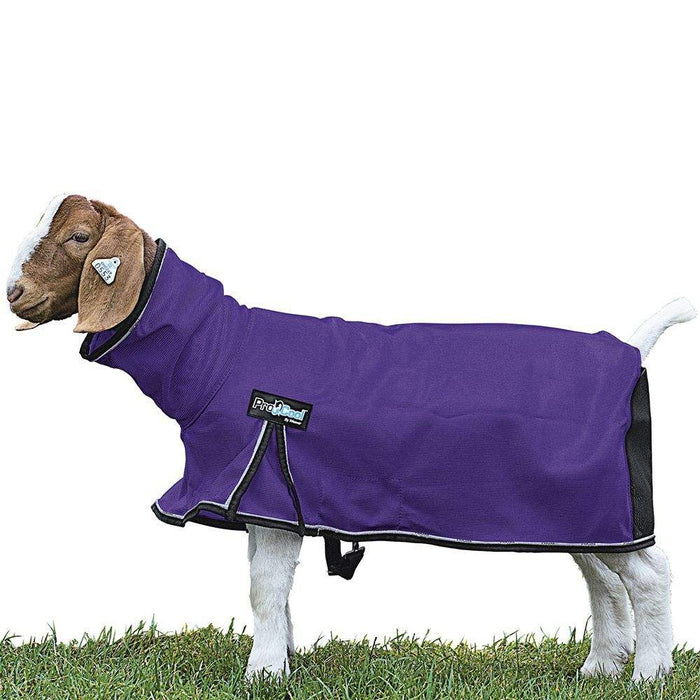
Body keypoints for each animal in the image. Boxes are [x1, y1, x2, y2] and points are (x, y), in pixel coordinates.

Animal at [8, 194, 695, 681]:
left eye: (78, 237)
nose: (14, 292)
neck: (217, 354)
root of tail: (631, 348)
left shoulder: (267, 484)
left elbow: (263, 588)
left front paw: (261, 673)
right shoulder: (261, 500)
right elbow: (271, 589)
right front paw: (283, 662)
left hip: (604, 502)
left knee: (650, 574)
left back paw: (649, 673)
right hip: (583, 509)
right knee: (603, 577)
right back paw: (600, 667)